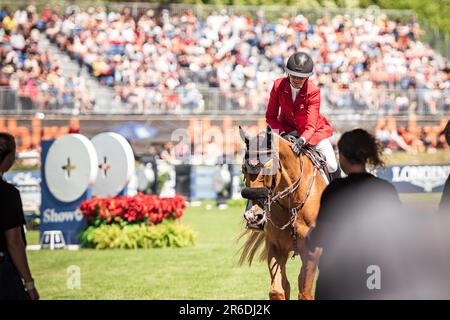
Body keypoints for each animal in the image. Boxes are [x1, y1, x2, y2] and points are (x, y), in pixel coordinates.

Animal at [239, 125, 326, 300]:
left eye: (268, 168)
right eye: (243, 168)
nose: (253, 216)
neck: (292, 201)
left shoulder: (312, 253)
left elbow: (305, 293)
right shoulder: (276, 248)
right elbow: (278, 290)